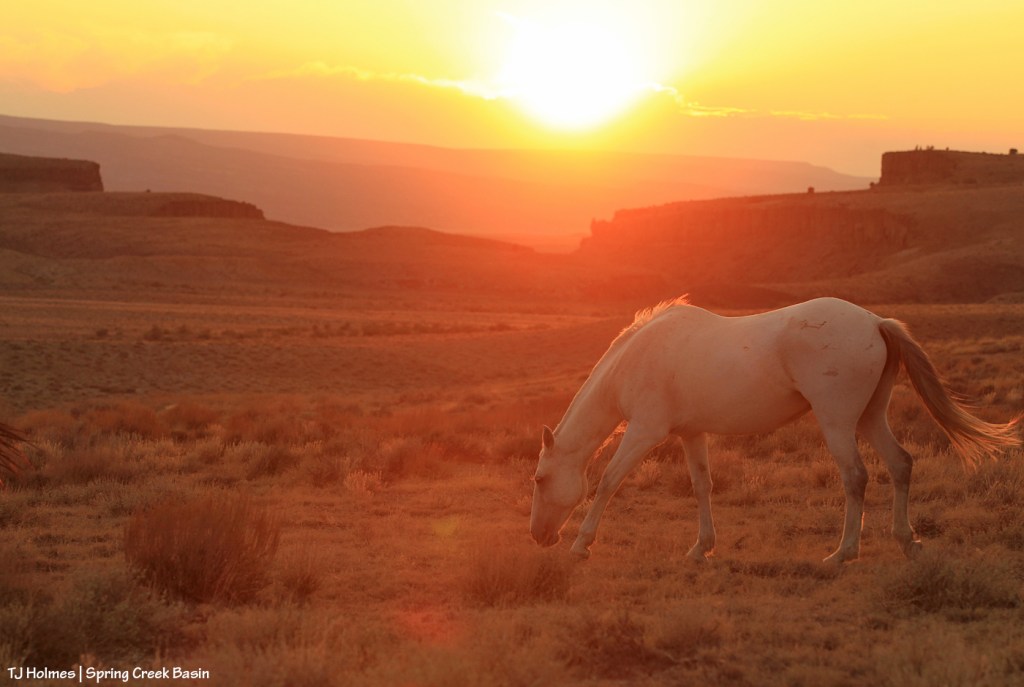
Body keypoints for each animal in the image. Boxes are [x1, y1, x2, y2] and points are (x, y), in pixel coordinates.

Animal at [530, 297, 1021, 564]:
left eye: (539, 479)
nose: (538, 536)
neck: (639, 356)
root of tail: (875, 322)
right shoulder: (691, 434)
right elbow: (702, 486)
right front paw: (702, 548)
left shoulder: (644, 432)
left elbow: (608, 481)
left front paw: (581, 545)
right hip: (870, 416)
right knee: (900, 463)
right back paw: (907, 541)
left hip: (837, 421)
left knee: (856, 477)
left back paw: (843, 552)